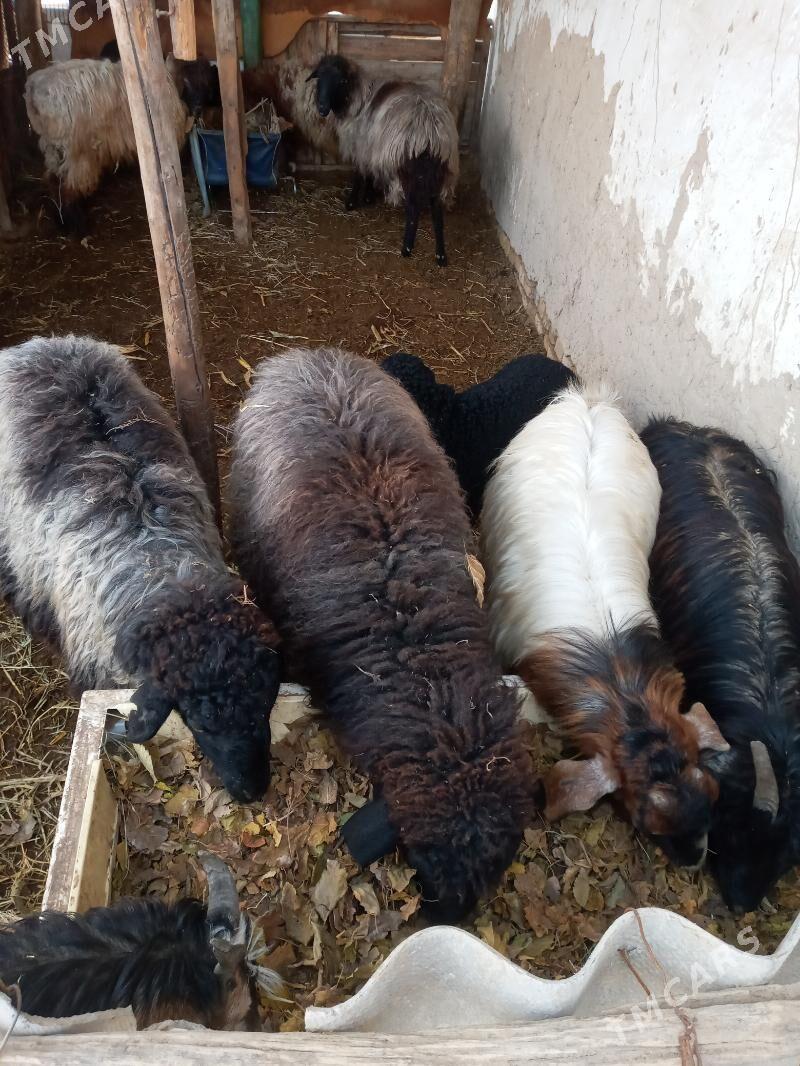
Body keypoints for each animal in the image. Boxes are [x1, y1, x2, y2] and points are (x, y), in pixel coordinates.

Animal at [24, 58, 189, 233]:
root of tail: (34, 89)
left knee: (53, 179)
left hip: (53, 146)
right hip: (75, 149)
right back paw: (76, 223)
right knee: (68, 185)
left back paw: (61, 219)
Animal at [306, 54, 459, 265]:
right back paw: (441, 256)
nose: (321, 108)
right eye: (319, 77)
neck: (358, 97)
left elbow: (359, 174)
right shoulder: (372, 148)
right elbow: (371, 173)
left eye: (341, 81)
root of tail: (431, 128)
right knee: (436, 209)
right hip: (438, 168)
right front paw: (369, 197)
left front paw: (352, 202)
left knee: (413, 206)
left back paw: (407, 248)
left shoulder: (361, 147)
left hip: (409, 167)